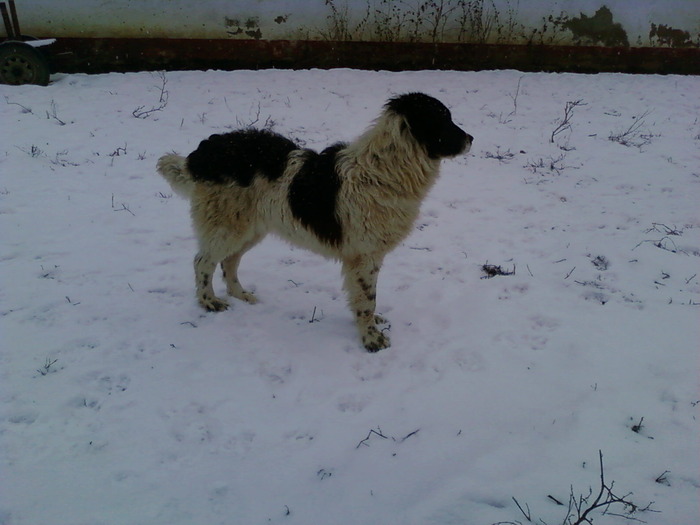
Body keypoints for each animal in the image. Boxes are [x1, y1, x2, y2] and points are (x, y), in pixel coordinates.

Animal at [157, 92, 474, 350]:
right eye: (444, 119)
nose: (471, 138)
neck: (383, 171)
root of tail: (203, 154)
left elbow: (364, 299)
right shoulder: (364, 255)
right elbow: (367, 299)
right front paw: (371, 338)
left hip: (249, 228)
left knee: (229, 262)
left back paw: (241, 295)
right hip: (227, 226)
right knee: (203, 262)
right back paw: (209, 302)